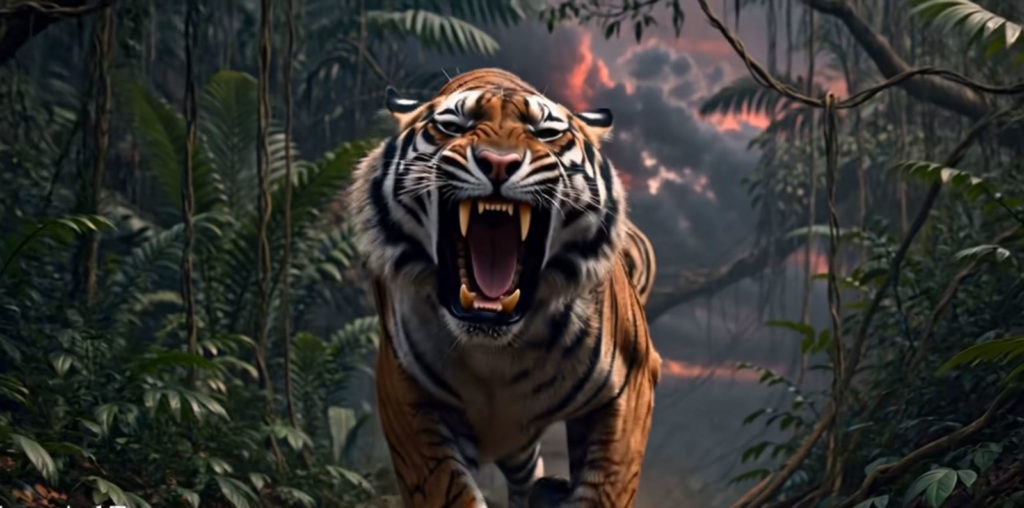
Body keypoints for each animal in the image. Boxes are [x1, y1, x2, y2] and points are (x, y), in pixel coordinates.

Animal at [347, 68, 661, 508]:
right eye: (452, 127)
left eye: (546, 133)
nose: (498, 163)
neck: (496, 350)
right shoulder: (405, 394)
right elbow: (448, 490)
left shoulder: (632, 382)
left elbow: (606, 486)